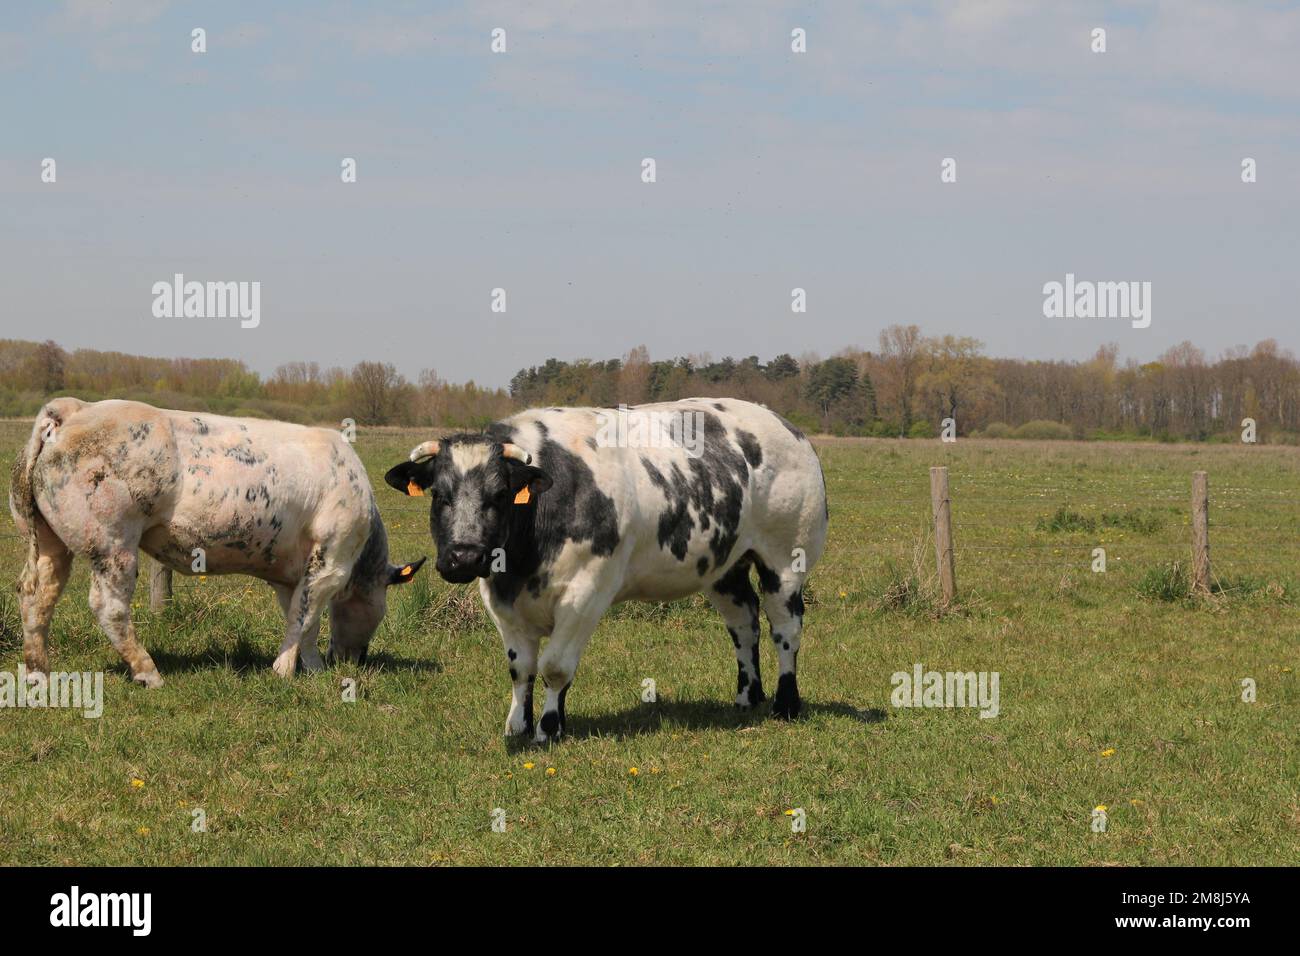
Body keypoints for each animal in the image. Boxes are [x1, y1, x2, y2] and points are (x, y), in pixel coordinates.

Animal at [10, 398, 426, 686]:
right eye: (380, 604)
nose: (355, 659)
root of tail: (74, 409)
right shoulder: (331, 561)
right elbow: (304, 615)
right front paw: (283, 670)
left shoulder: (292, 574)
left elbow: (303, 619)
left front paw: (312, 666)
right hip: (112, 543)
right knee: (108, 606)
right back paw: (148, 672)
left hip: (49, 540)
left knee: (36, 594)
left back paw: (37, 673)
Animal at [382, 395, 821, 738]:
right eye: (439, 495)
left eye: (501, 494)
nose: (464, 557)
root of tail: (785, 426)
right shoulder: (500, 598)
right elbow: (521, 669)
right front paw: (518, 725)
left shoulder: (586, 594)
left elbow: (555, 666)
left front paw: (549, 728)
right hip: (725, 567)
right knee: (744, 623)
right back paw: (747, 697)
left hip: (786, 559)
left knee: (785, 628)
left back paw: (785, 704)